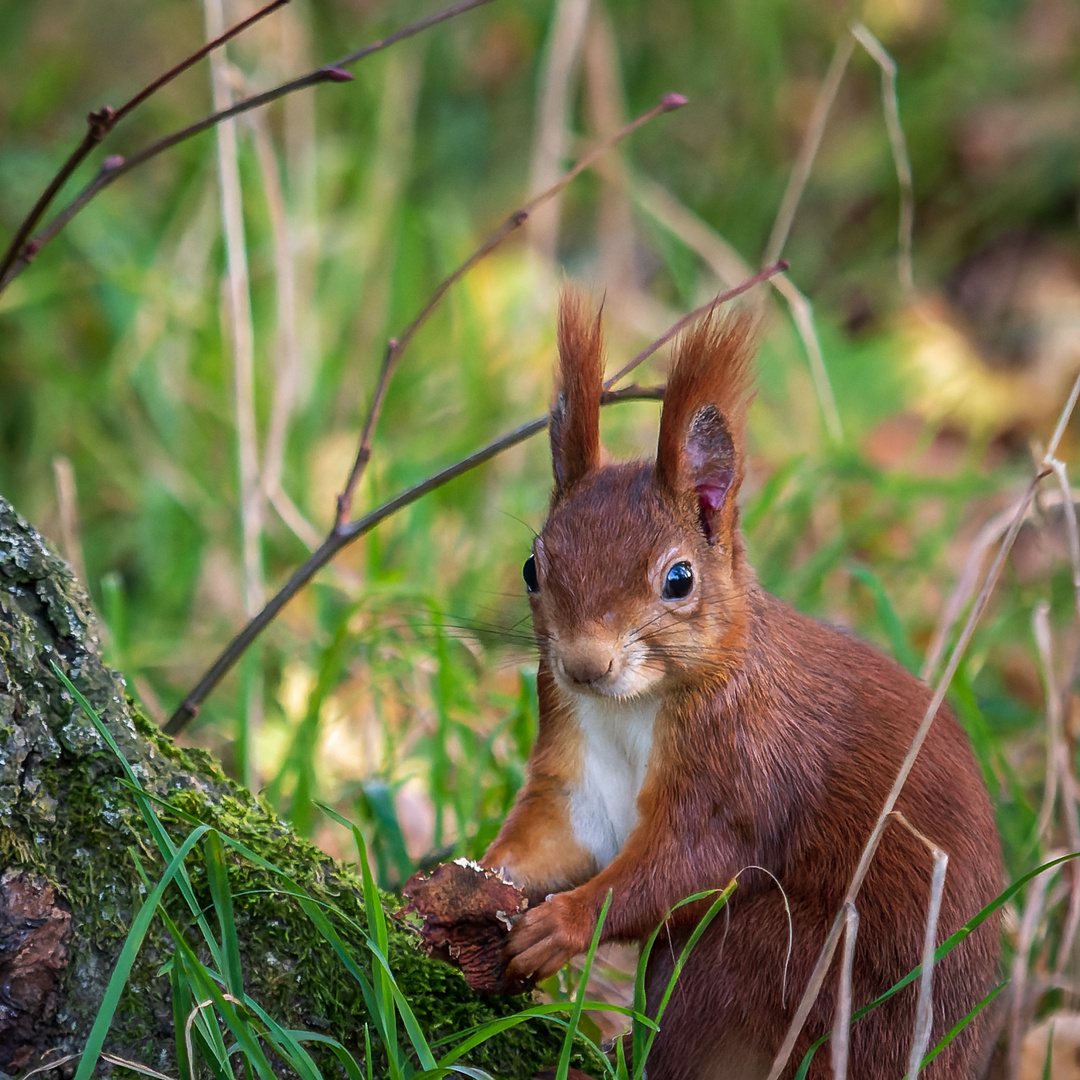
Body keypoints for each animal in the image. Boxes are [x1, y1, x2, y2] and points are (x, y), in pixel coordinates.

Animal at [481, 291, 1002, 1075]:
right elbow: (565, 835)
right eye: (531, 567)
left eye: (678, 579)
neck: (634, 708)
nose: (586, 664)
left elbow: (691, 866)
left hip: (757, 965)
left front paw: (565, 923)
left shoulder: (744, 765)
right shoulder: (577, 747)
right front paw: (472, 877)